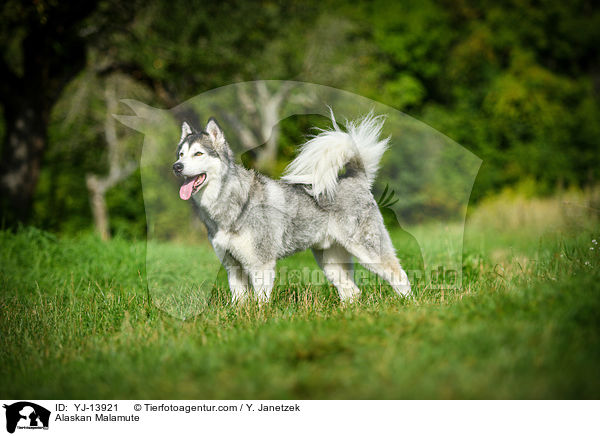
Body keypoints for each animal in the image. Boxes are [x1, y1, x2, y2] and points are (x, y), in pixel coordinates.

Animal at [171, 112, 410, 304]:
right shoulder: (232, 265)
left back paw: (408, 305)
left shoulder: (261, 264)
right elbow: (239, 300)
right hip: (331, 261)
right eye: (181, 154)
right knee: (352, 292)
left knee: (400, 277)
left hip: (369, 251)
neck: (231, 202)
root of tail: (356, 178)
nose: (176, 167)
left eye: (198, 154)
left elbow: (260, 300)